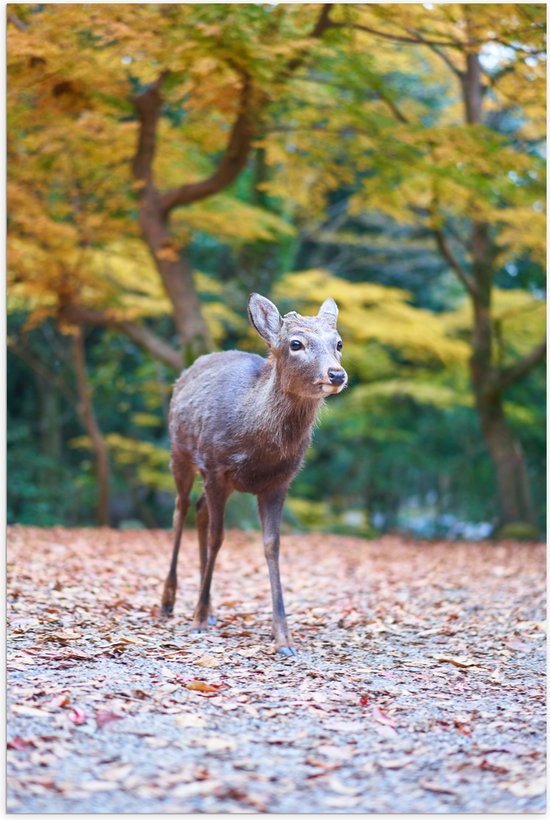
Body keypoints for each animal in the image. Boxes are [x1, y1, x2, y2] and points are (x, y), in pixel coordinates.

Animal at [162, 292, 348, 656]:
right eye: (296, 343)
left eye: (339, 343)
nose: (336, 374)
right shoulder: (216, 466)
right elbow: (218, 537)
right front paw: (197, 622)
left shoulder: (279, 482)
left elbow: (271, 545)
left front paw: (283, 638)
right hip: (180, 451)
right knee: (180, 509)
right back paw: (170, 601)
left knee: (200, 510)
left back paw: (210, 607)